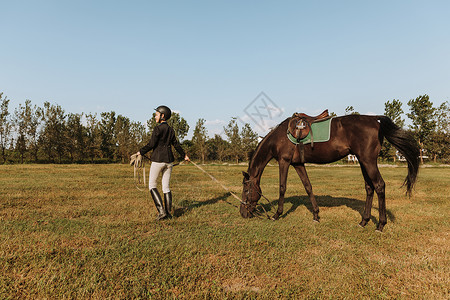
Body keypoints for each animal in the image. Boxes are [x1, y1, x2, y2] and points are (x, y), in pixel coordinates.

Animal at [241, 113, 420, 232]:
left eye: (246, 190)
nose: (243, 213)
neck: (279, 137)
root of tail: (374, 120)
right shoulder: (298, 164)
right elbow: (308, 187)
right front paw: (316, 215)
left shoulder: (284, 162)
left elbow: (282, 188)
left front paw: (276, 215)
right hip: (363, 161)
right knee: (369, 188)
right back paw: (364, 221)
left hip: (369, 161)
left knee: (379, 186)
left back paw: (380, 225)